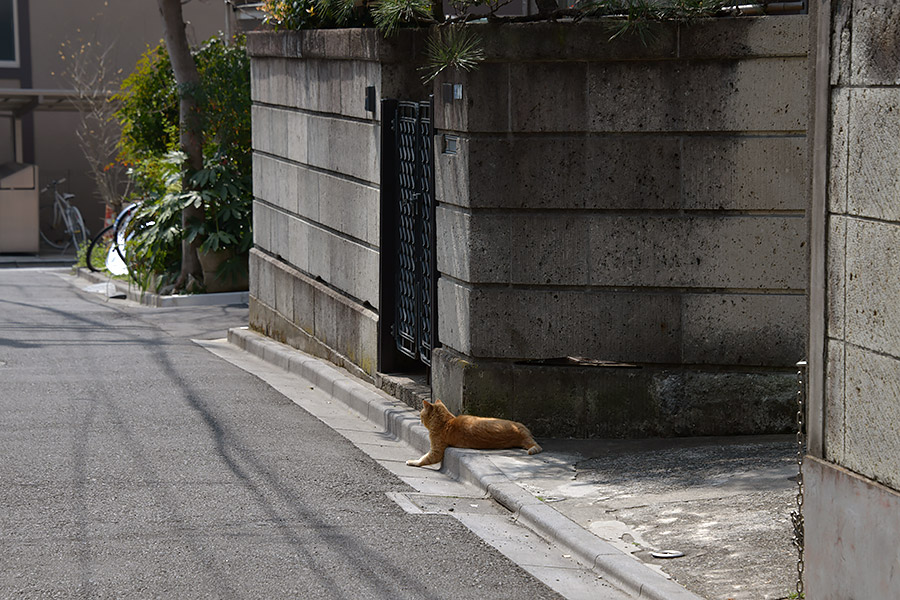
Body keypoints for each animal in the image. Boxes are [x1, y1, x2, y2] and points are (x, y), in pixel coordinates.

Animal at [406, 398, 540, 468]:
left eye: (421, 414)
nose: (419, 419)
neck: (446, 421)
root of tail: (521, 434)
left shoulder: (436, 451)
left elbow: (424, 459)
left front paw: (412, 461)